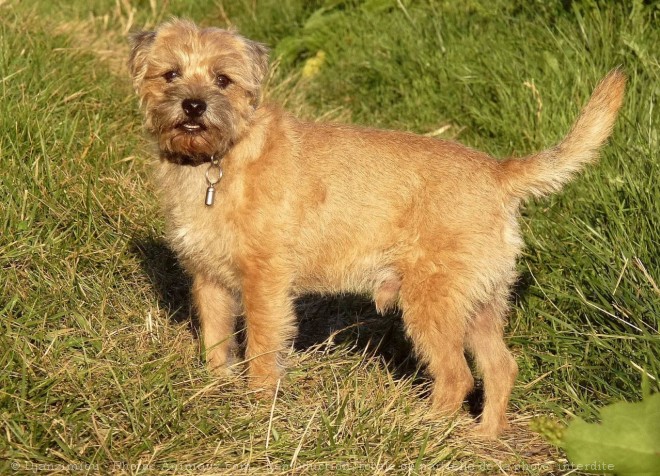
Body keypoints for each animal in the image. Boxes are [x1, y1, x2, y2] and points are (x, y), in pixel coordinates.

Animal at [127, 18, 624, 436]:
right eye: (170, 74)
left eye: (222, 80)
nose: (193, 105)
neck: (219, 159)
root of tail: (497, 173)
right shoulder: (209, 280)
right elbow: (215, 344)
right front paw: (214, 391)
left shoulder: (263, 282)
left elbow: (261, 349)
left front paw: (255, 406)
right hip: (479, 303)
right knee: (500, 367)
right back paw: (482, 436)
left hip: (431, 303)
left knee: (457, 376)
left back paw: (424, 430)